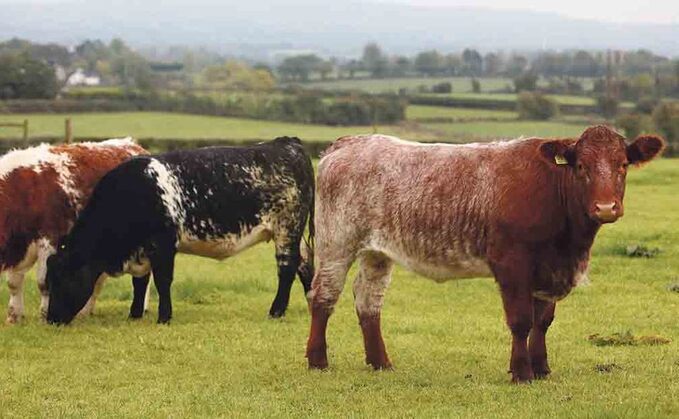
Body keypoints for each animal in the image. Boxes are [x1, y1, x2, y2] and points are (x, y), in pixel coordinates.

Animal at [0, 138, 149, 324]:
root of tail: (131, 144)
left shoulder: (50, 240)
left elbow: (43, 283)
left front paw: (44, 315)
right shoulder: (18, 245)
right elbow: (13, 283)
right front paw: (14, 317)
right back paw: (85, 312)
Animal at [45, 137, 315, 325]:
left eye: (62, 277)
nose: (51, 319)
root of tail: (287, 143)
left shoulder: (163, 244)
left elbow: (162, 281)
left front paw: (164, 317)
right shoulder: (142, 249)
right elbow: (140, 282)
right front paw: (134, 314)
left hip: (287, 228)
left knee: (287, 267)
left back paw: (276, 311)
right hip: (294, 233)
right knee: (304, 263)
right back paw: (313, 301)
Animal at [306, 126, 665, 383]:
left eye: (623, 165)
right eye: (580, 166)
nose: (605, 207)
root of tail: (350, 142)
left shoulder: (548, 268)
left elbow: (543, 321)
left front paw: (542, 368)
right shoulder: (512, 264)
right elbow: (521, 321)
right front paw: (522, 372)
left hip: (376, 252)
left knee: (369, 301)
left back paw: (380, 362)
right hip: (336, 243)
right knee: (323, 296)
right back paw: (318, 360)